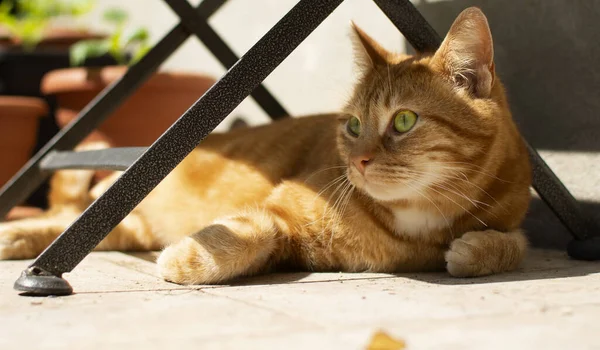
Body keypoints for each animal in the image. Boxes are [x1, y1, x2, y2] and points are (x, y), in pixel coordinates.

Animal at [0, 8, 528, 286]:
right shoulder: (280, 207)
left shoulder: (510, 212)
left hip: (129, 227)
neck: (420, 216)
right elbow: (250, 230)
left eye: (403, 120)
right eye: (354, 125)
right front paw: (188, 258)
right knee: (65, 218)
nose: (358, 162)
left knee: (66, 222)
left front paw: (477, 249)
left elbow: (514, 244)